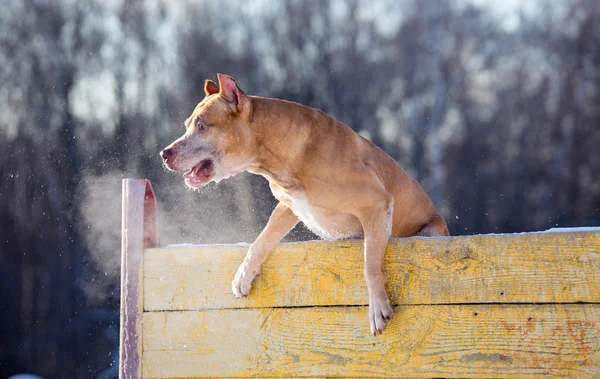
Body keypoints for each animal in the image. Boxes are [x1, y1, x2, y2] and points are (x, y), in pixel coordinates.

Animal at [161, 74, 450, 336]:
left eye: (201, 126)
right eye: (187, 125)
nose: (165, 153)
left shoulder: (376, 204)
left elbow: (370, 263)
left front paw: (378, 307)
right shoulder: (290, 206)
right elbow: (263, 238)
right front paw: (244, 274)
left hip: (430, 231)